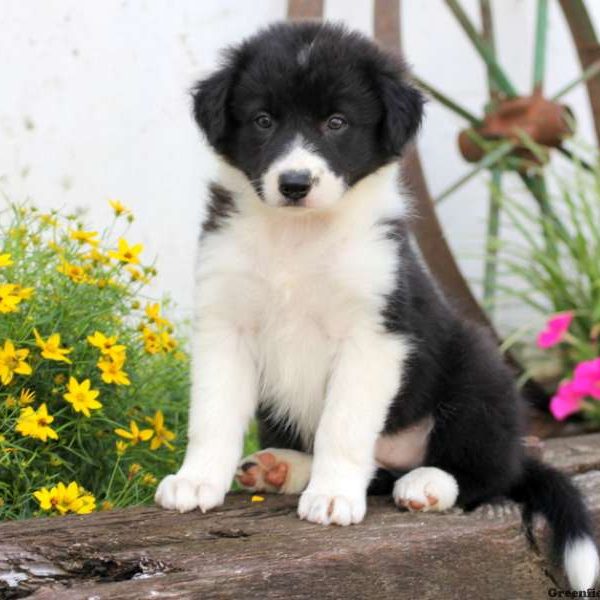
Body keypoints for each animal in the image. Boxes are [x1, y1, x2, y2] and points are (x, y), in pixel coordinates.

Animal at [156, 21, 600, 588]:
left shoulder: (374, 335)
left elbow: (343, 426)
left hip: (479, 368)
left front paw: (331, 497)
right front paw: (195, 482)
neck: (297, 237)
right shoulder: (226, 324)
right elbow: (212, 415)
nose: (294, 183)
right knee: (375, 470)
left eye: (336, 122)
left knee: (488, 473)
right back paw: (283, 468)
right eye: (262, 120)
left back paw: (428, 483)